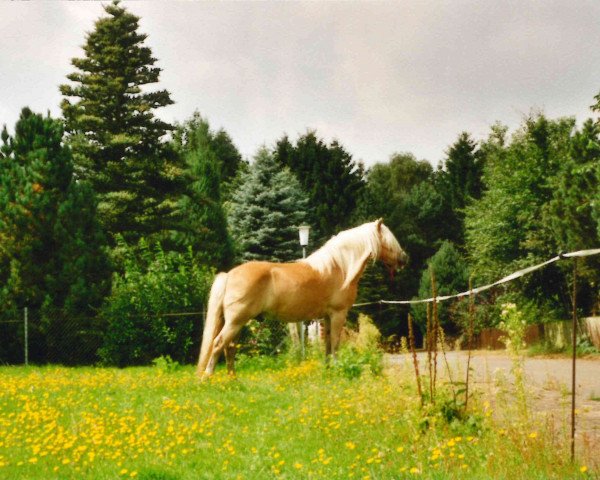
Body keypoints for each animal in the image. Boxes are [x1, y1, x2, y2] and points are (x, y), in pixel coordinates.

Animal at [197, 218, 408, 378]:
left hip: (238, 323)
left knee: (229, 347)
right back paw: (207, 377)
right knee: (218, 344)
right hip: (236, 322)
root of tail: (229, 274)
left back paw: (232, 378)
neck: (339, 267)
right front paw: (337, 369)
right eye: (389, 241)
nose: (404, 259)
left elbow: (328, 344)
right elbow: (336, 343)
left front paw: (328, 369)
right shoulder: (338, 314)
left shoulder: (326, 317)